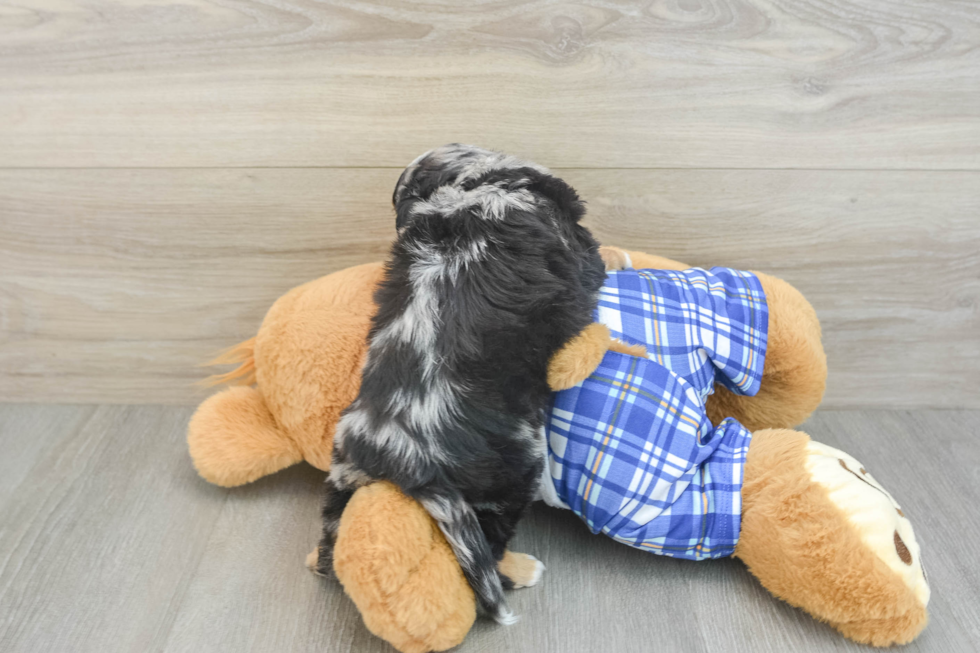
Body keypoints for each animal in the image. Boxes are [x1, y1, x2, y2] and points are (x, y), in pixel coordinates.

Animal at [314, 143, 604, 620]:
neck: (475, 186)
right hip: (513, 472)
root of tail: (403, 458)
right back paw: (523, 573)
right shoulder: (574, 255)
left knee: (330, 540)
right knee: (487, 552)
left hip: (344, 476)